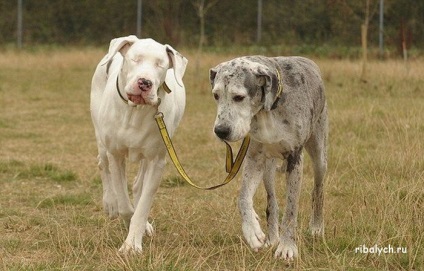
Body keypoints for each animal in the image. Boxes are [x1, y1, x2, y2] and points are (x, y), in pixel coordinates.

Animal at [90, 35, 186, 254]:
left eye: (160, 64)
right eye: (135, 59)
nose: (145, 83)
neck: (135, 110)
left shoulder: (157, 161)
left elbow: (142, 206)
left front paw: (133, 242)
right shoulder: (116, 155)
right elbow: (125, 206)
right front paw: (125, 218)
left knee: (138, 185)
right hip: (101, 137)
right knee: (102, 164)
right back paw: (109, 203)